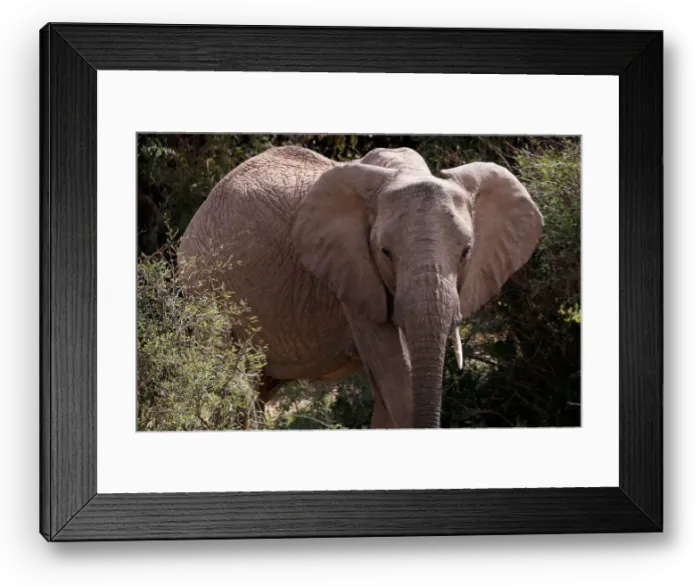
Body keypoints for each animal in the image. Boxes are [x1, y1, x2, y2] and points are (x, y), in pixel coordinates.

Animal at [177, 145, 544, 429]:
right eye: (385, 252)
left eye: (467, 252)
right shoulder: (352, 270)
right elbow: (393, 370)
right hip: (205, 287)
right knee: (237, 383)